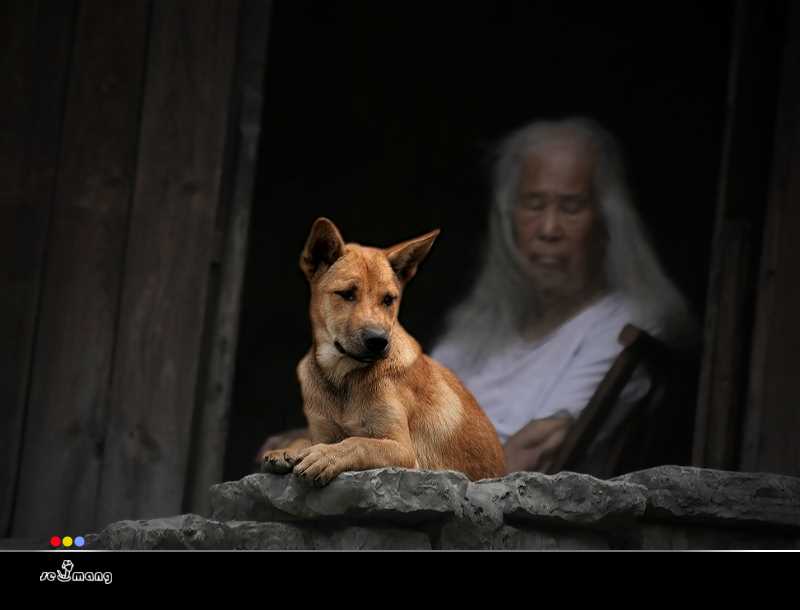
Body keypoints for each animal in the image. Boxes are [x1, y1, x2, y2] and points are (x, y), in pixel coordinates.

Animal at [260, 218, 504, 484]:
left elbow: (358, 443)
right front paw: (289, 449)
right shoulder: (323, 431)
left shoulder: (403, 450)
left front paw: (325, 456)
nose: (377, 341)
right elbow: (313, 439)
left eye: (388, 299)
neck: (343, 379)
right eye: (347, 294)